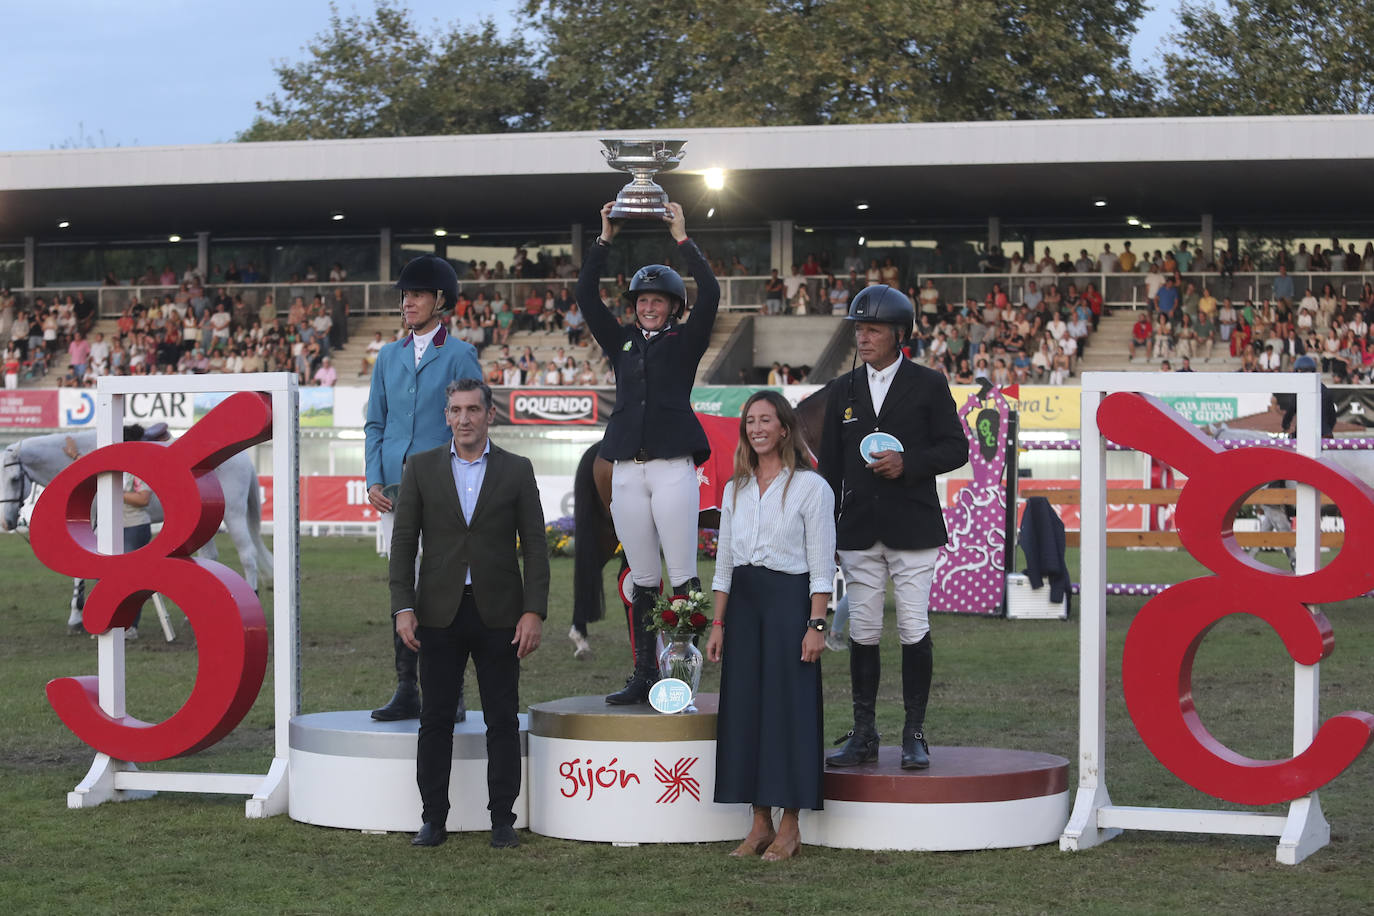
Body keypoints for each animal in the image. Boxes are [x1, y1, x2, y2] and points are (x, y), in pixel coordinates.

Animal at [0, 433, 270, 634]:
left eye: (14, 479)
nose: (6, 521)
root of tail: (244, 458)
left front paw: (79, 618)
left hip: (234, 514)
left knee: (248, 556)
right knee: (210, 557)